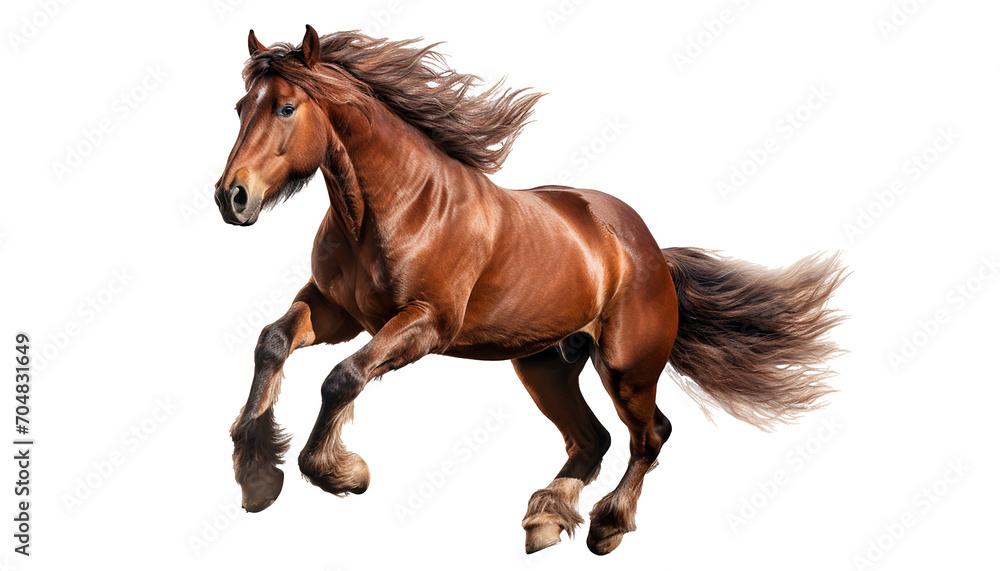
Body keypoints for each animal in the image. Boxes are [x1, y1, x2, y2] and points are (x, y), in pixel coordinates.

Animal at [215, 25, 846, 555]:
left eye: (286, 107)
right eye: (242, 106)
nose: (231, 196)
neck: (396, 206)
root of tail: (648, 250)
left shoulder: (426, 323)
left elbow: (342, 377)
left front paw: (343, 471)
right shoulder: (337, 312)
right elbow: (273, 342)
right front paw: (257, 474)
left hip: (626, 368)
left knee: (650, 436)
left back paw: (608, 525)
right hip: (545, 365)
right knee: (592, 439)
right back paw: (545, 518)